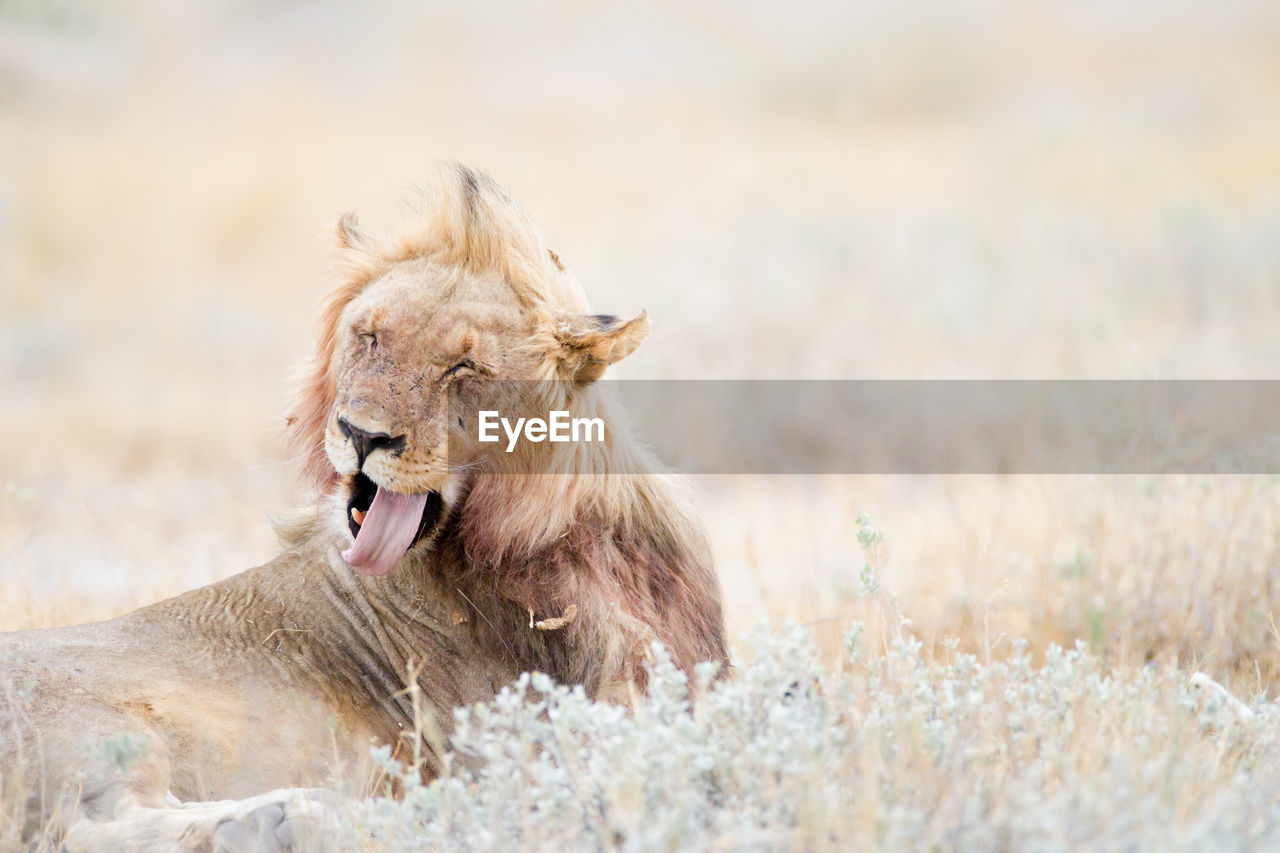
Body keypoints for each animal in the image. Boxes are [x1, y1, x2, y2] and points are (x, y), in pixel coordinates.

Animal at [0, 162, 727, 845]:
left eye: (464, 368)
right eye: (369, 336)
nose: (361, 434)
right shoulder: (507, 740)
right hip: (95, 729)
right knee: (87, 823)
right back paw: (284, 818)